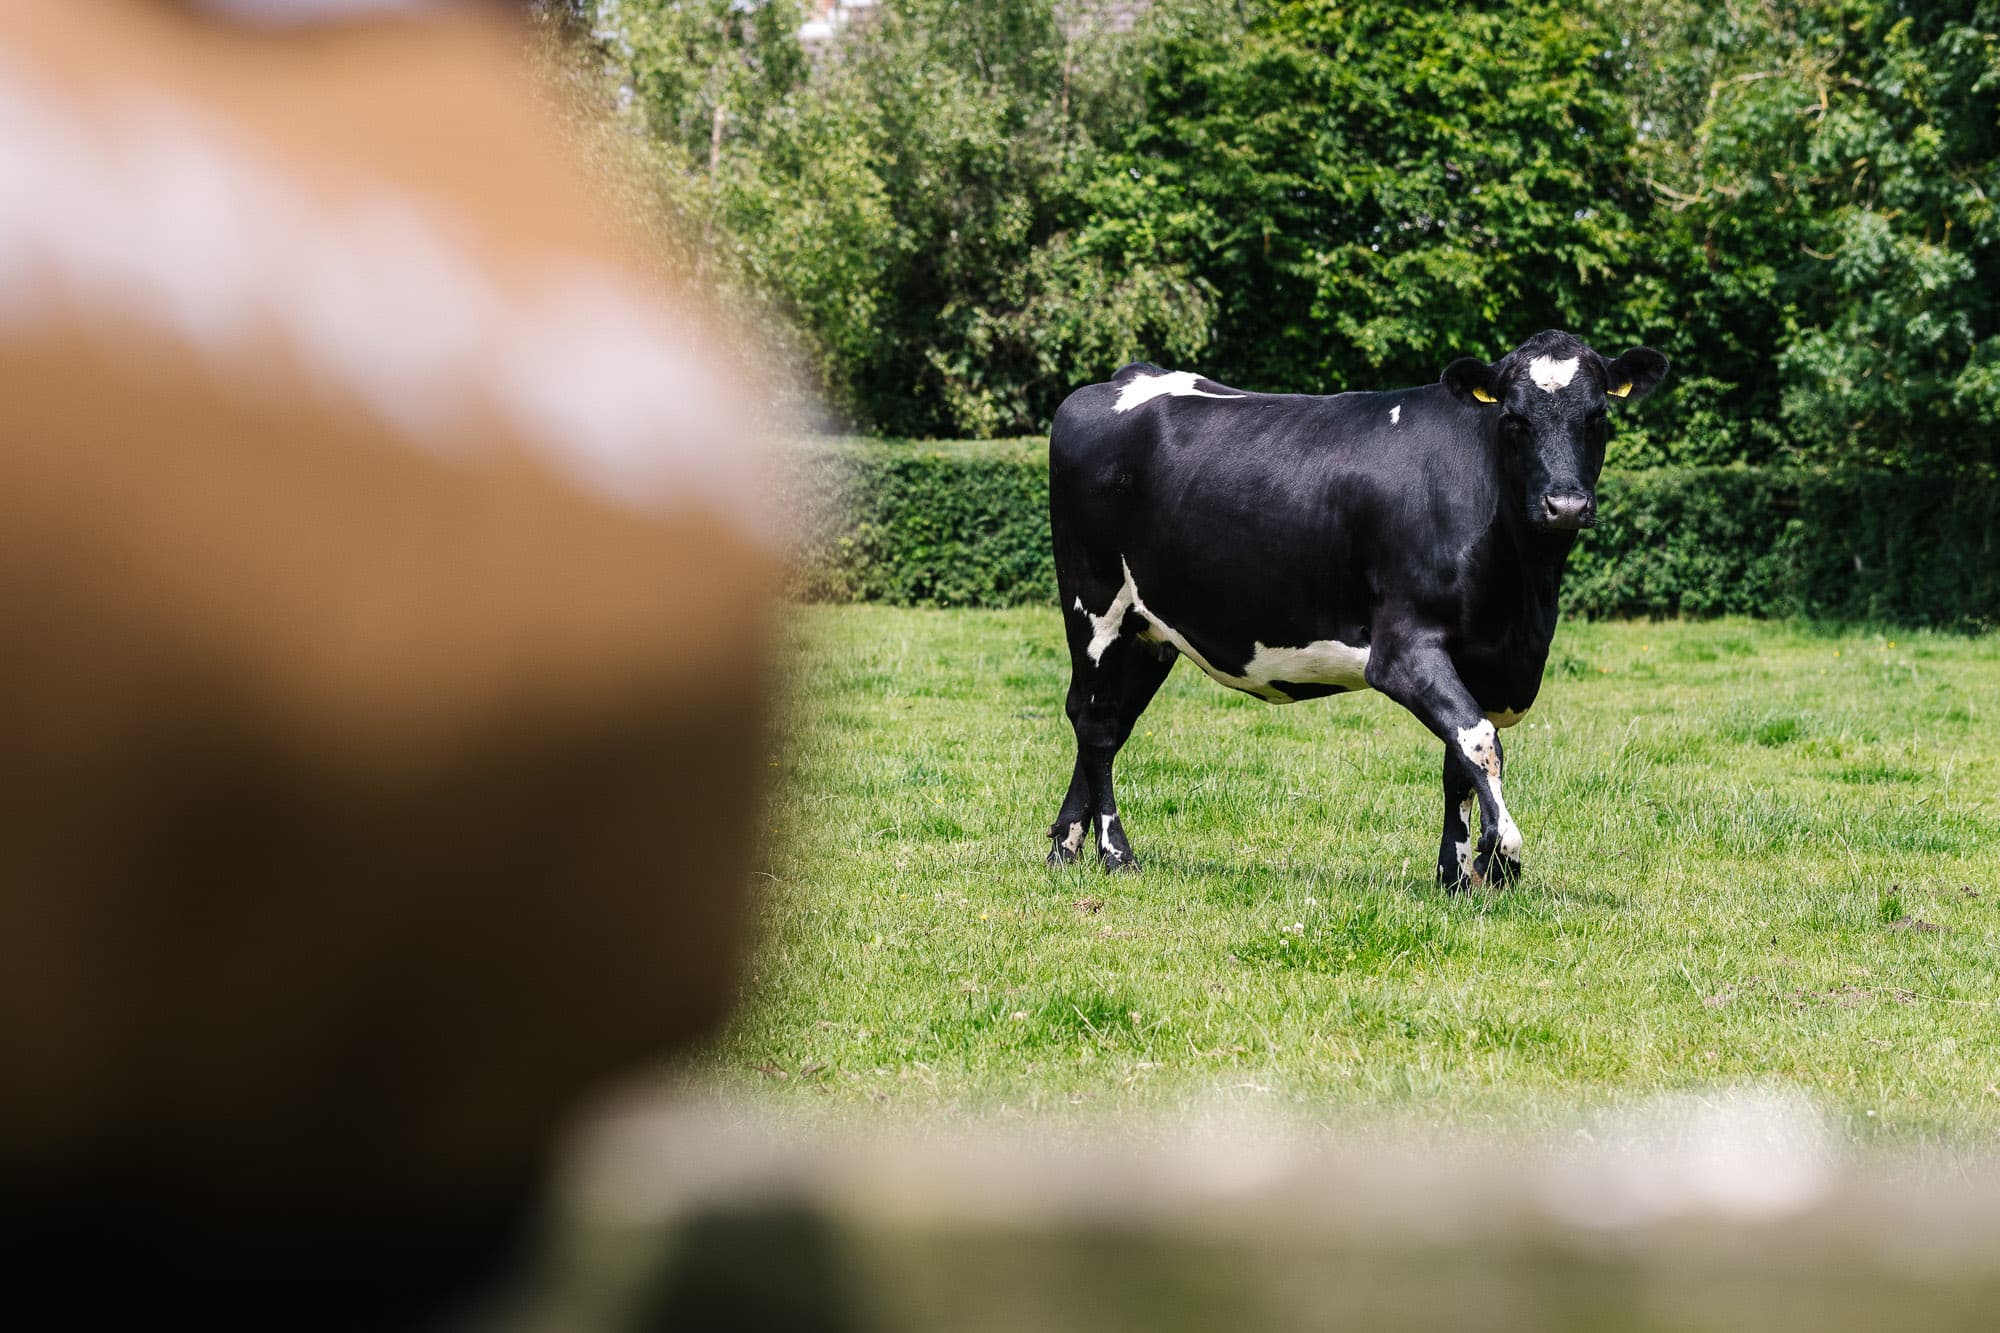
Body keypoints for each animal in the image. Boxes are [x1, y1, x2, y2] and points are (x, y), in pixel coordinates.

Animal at [1045, 330, 1668, 891]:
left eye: (1597, 416)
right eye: (1514, 419)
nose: (1566, 504)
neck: (1522, 601)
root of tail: (1122, 378)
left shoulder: (1486, 659)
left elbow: (1457, 763)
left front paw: (1456, 874)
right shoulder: (1403, 650)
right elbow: (1479, 742)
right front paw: (1500, 855)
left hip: (1149, 631)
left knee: (1112, 722)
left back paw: (1065, 846)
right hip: (1094, 605)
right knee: (1095, 723)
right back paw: (1115, 853)